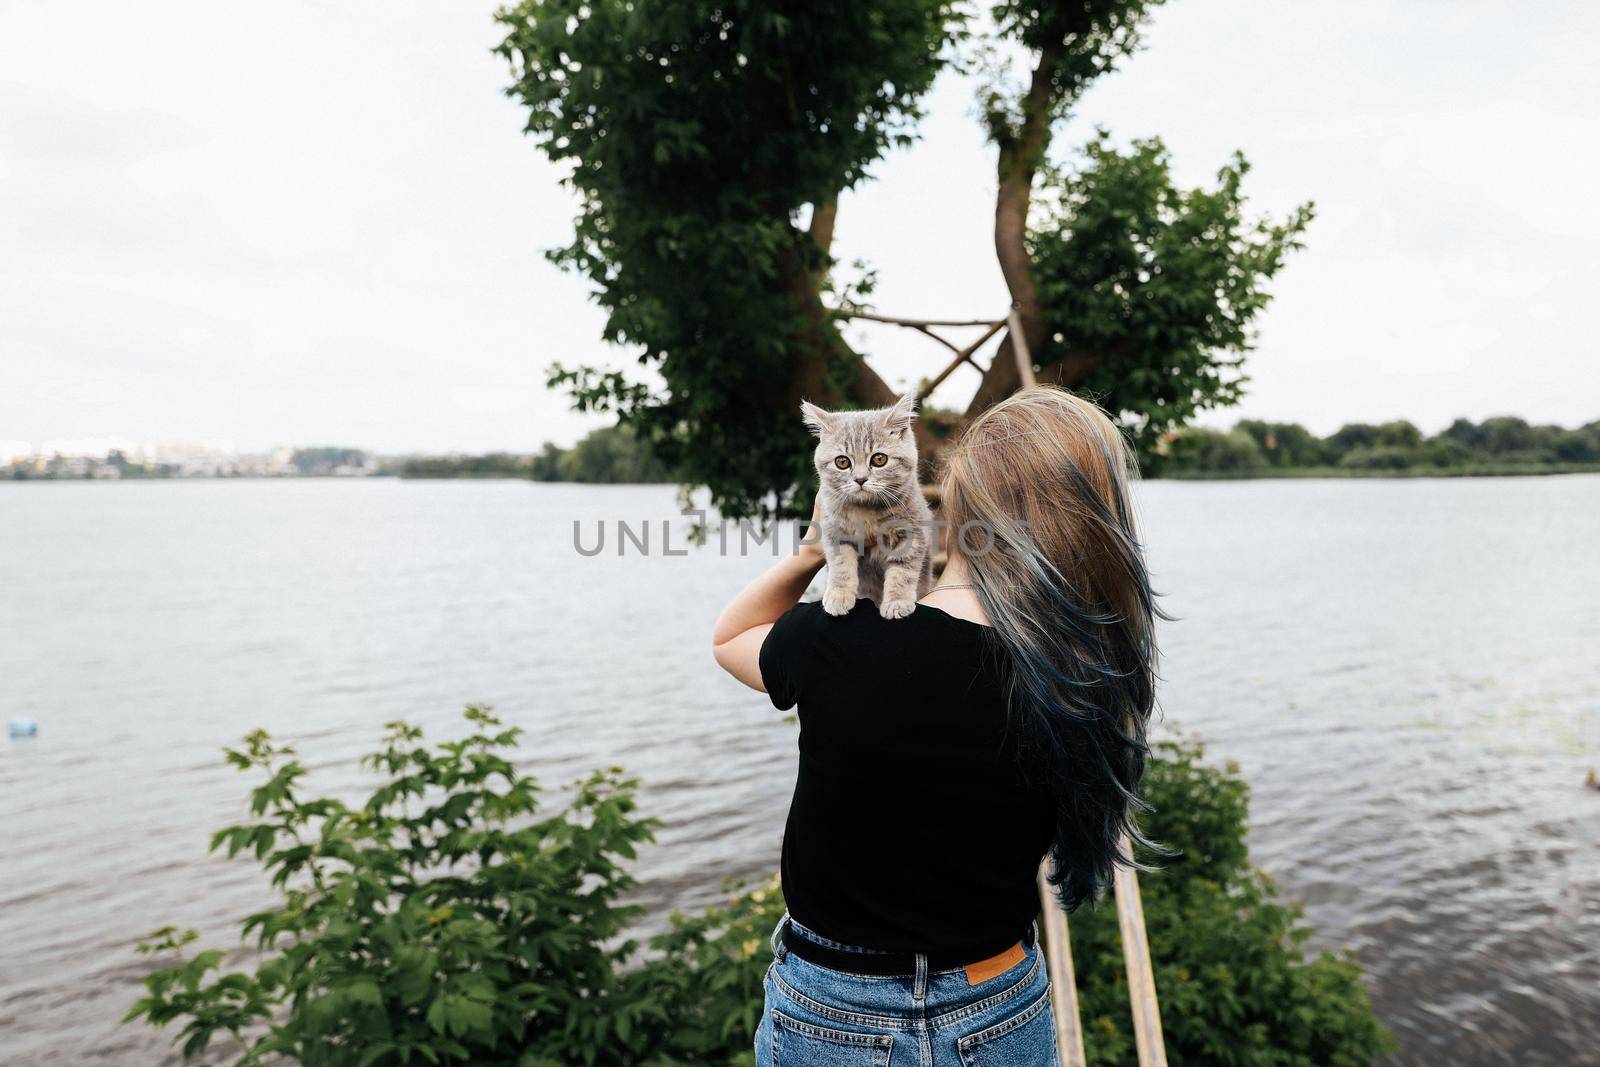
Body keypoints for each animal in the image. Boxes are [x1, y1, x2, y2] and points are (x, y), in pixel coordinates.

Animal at [806, 396, 934, 620]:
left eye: (879, 459)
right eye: (842, 462)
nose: (860, 479)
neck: (866, 510)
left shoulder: (913, 531)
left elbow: (903, 570)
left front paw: (897, 602)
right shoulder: (834, 530)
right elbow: (841, 566)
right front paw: (838, 597)